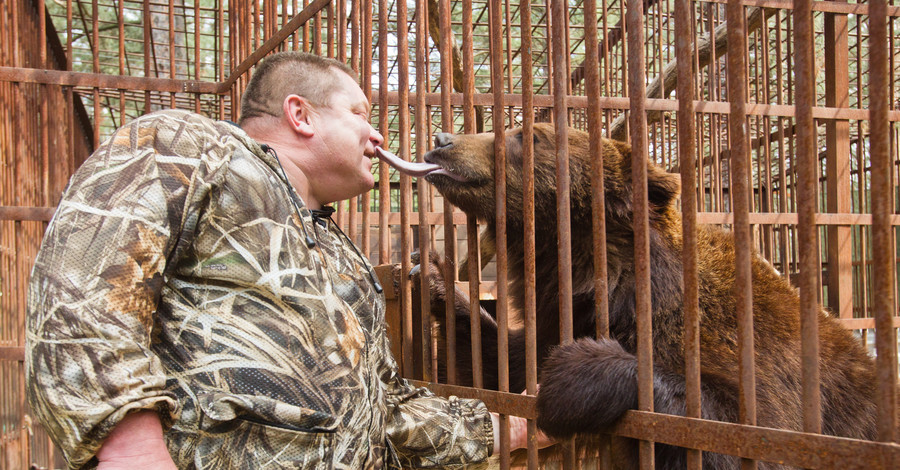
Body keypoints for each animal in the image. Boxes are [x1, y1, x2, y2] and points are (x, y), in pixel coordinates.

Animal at [400, 123, 880, 468]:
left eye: (526, 135)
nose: (441, 140)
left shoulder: (741, 349)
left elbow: (740, 433)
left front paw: (570, 376)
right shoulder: (557, 318)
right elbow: (495, 366)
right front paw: (433, 276)